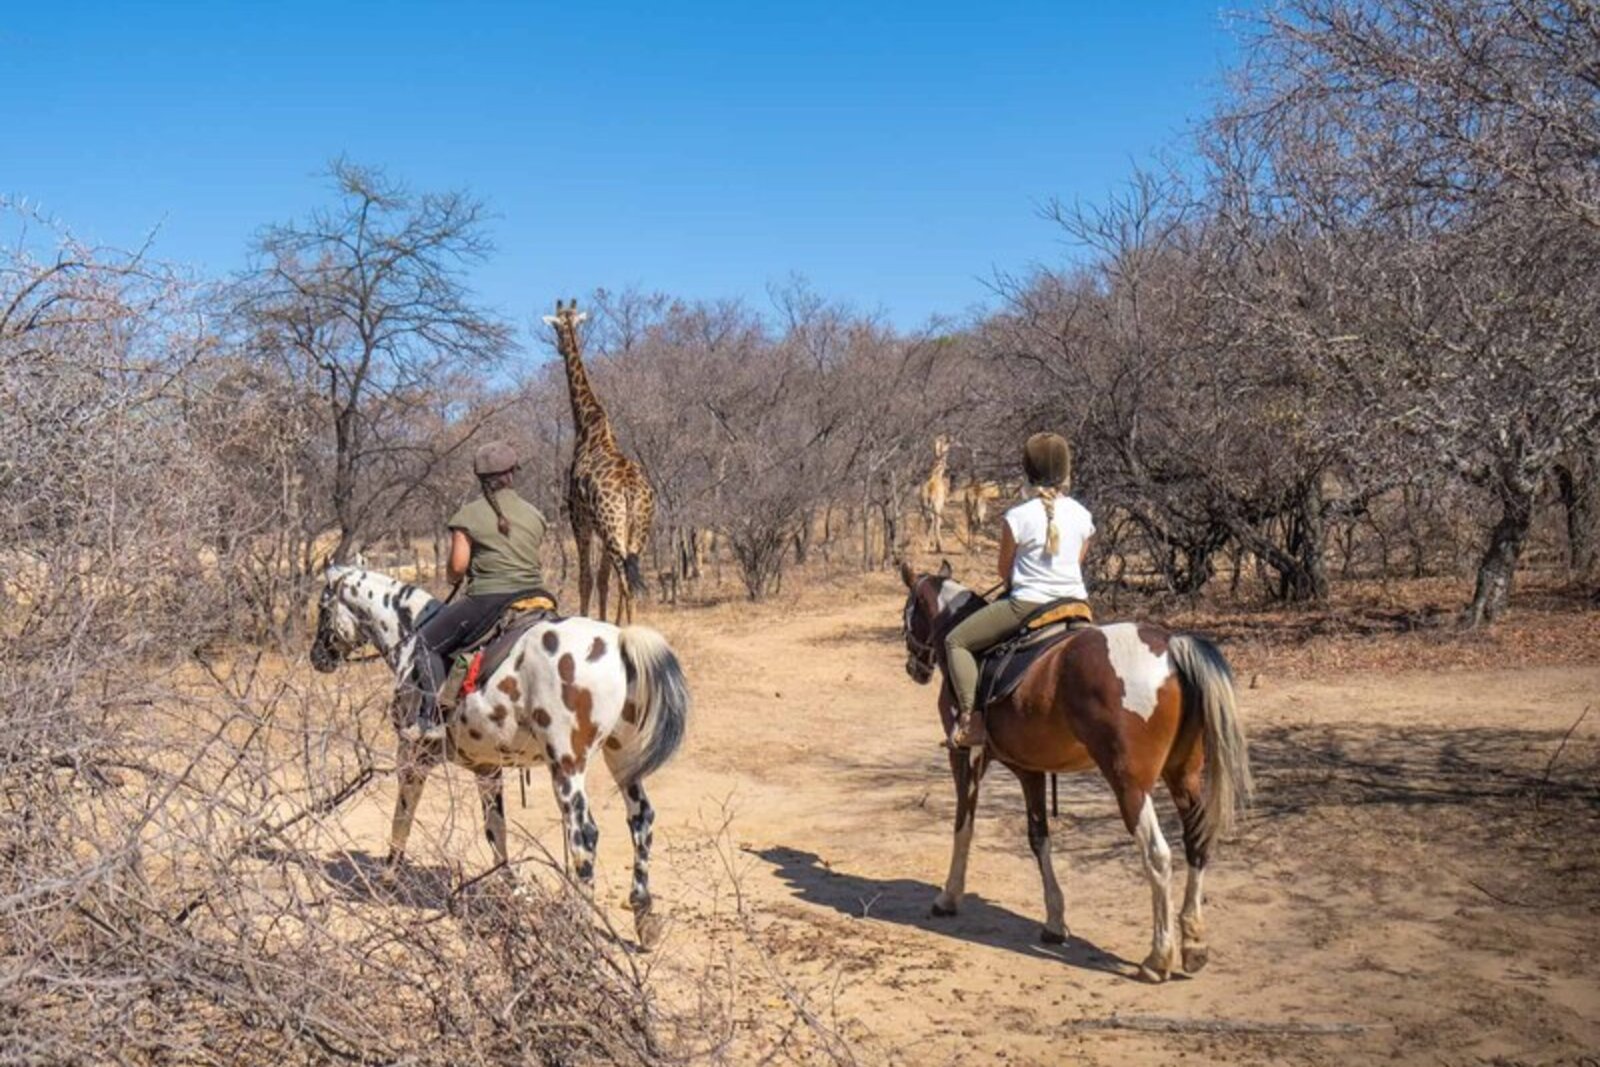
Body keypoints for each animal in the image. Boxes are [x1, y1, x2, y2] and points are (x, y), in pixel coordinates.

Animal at [544, 299, 656, 624]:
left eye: (556, 328)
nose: (560, 347)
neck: (587, 423)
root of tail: (632, 491)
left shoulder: (579, 519)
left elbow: (586, 579)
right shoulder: (599, 527)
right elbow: (603, 580)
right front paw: (606, 623)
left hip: (611, 526)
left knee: (626, 581)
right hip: (635, 529)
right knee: (628, 579)